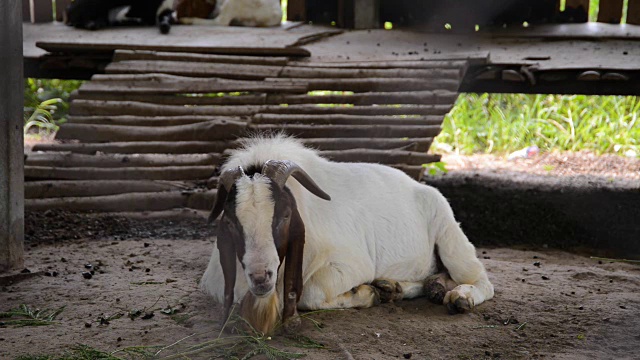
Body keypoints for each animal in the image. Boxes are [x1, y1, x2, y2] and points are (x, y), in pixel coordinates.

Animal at [202, 135, 492, 334]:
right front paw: (378, 291)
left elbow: (310, 293)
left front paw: (366, 294)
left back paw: (459, 297)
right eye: (231, 222)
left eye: (285, 215)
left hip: (450, 234)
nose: (261, 277)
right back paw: (399, 288)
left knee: (481, 279)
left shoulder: (351, 264)